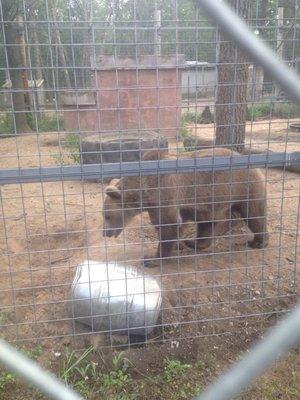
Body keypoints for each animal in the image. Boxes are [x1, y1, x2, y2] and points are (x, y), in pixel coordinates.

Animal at [102, 147, 268, 266]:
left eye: (107, 216)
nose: (105, 233)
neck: (145, 190)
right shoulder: (164, 204)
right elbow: (172, 225)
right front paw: (178, 245)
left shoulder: (165, 193)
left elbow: (169, 224)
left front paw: (152, 259)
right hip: (209, 199)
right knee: (208, 223)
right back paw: (193, 242)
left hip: (245, 187)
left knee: (254, 215)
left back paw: (257, 242)